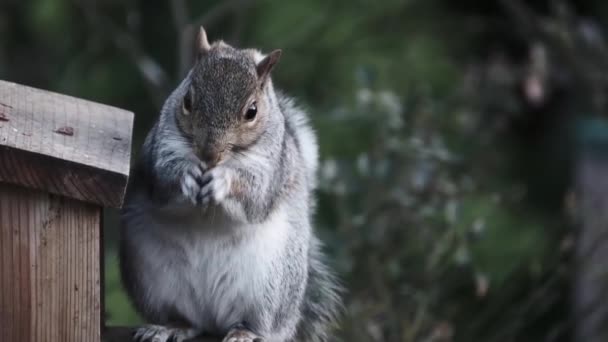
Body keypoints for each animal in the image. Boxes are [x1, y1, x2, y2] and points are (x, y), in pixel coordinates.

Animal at [119, 27, 342, 342]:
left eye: (252, 111)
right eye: (187, 100)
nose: (209, 153)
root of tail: (212, 319)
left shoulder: (271, 168)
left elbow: (255, 197)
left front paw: (222, 182)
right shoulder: (160, 148)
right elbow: (162, 180)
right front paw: (186, 176)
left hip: (269, 289)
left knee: (259, 323)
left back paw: (244, 333)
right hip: (154, 282)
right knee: (185, 318)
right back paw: (171, 327)